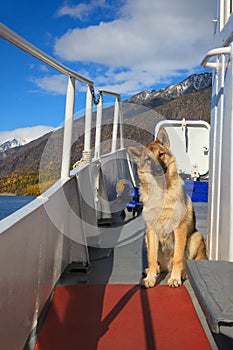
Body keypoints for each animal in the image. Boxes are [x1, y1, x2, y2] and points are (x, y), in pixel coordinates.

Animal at [126, 127, 207, 288]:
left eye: (161, 154)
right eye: (148, 159)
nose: (158, 169)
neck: (161, 192)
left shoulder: (179, 228)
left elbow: (177, 257)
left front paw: (175, 278)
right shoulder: (151, 230)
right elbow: (151, 257)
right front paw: (150, 279)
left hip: (195, 237)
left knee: (187, 261)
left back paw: (182, 273)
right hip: (147, 239)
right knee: (160, 264)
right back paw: (153, 270)